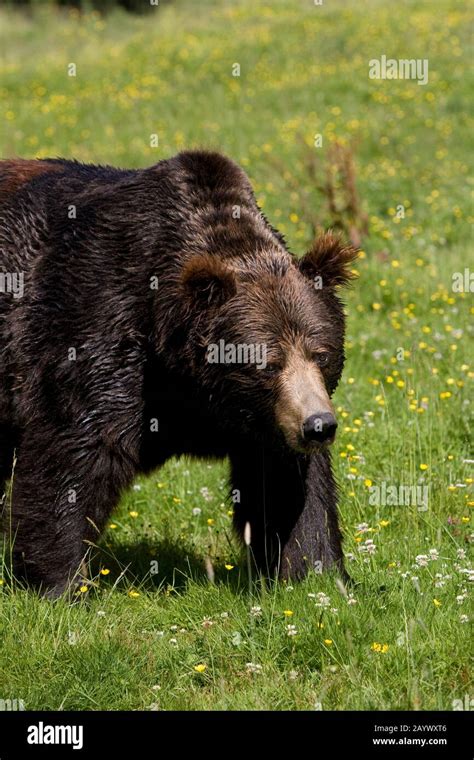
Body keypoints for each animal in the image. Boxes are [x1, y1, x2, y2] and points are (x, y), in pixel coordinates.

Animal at [0, 151, 356, 596]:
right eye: (267, 363)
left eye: (321, 354)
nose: (318, 426)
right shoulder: (102, 334)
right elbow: (73, 453)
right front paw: (60, 582)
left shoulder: (269, 422)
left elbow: (290, 488)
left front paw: (315, 572)